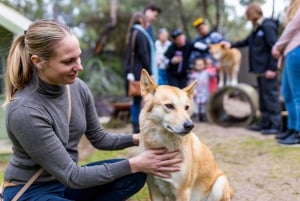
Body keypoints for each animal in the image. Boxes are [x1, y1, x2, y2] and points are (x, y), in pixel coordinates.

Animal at [139, 68, 233, 200]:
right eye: (169, 106)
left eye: (186, 107)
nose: (190, 126)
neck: (163, 145)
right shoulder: (154, 190)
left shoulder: (182, 192)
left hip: (220, 183)